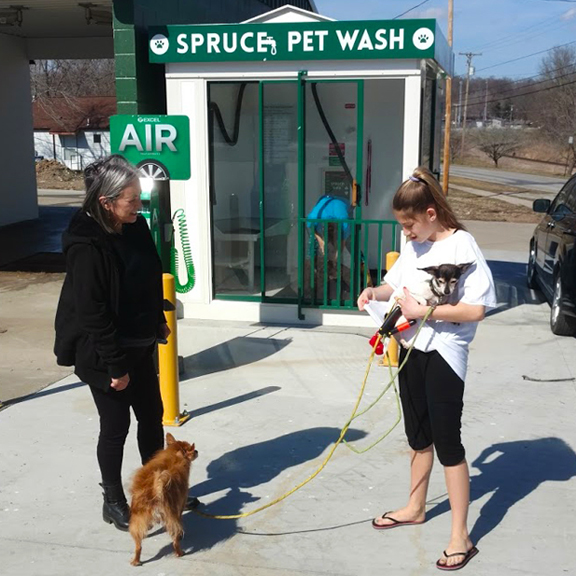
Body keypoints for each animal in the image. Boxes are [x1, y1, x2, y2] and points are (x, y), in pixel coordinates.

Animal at [128, 434, 198, 564]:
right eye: (192, 449)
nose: (197, 451)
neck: (175, 455)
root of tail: (155, 492)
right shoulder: (179, 507)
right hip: (172, 519)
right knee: (175, 541)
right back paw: (180, 552)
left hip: (137, 522)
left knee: (138, 546)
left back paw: (136, 561)